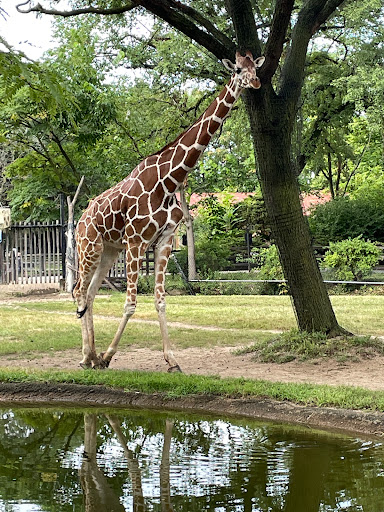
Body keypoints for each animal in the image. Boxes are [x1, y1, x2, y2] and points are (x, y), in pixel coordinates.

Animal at [73, 51, 264, 372]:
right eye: (238, 69)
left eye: (255, 67)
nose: (257, 82)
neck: (169, 180)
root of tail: (78, 222)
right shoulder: (136, 241)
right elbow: (130, 303)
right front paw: (110, 355)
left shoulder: (162, 241)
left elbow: (160, 300)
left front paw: (172, 361)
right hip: (89, 247)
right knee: (78, 291)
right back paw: (89, 356)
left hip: (109, 250)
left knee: (88, 292)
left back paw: (91, 356)